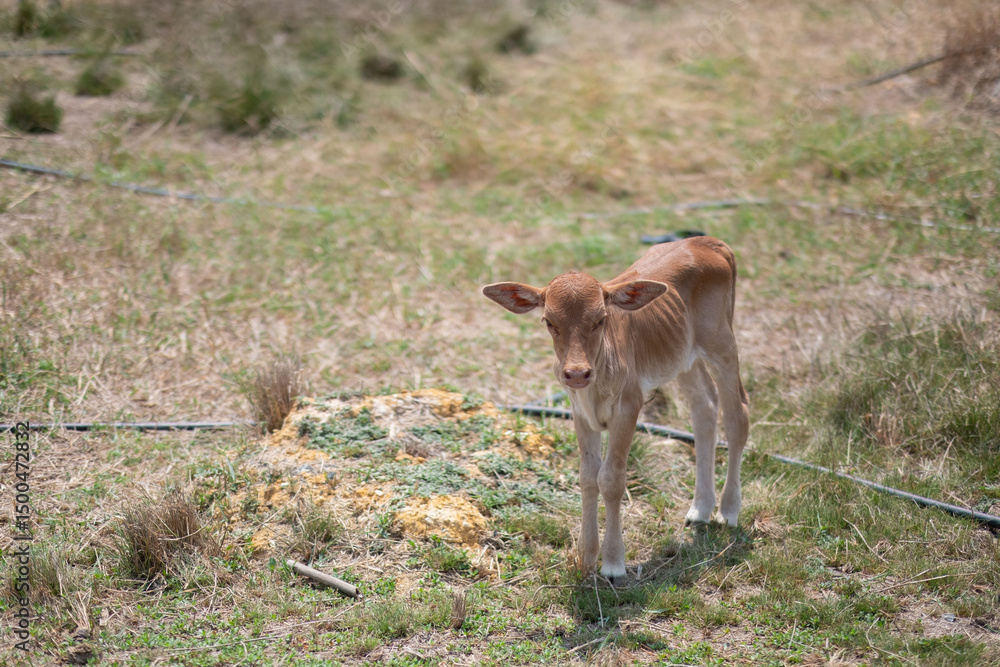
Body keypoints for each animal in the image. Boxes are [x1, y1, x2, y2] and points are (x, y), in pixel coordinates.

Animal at [483, 236, 749, 581]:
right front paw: (585, 557)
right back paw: (701, 509)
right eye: (549, 321)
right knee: (704, 408)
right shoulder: (579, 410)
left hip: (722, 342)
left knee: (737, 415)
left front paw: (612, 563)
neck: (596, 383)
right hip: (683, 357)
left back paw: (728, 511)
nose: (577, 373)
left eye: (601, 319)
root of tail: (710, 242)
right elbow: (587, 476)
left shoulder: (629, 403)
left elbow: (611, 479)